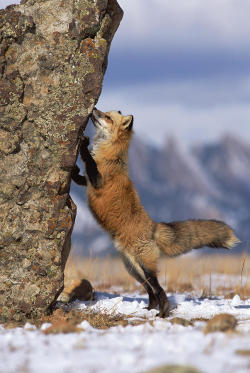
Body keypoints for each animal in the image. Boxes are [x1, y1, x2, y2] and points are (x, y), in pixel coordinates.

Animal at [71, 107, 240, 316]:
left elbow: (89, 161)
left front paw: (83, 145)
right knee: (150, 290)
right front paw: (72, 169)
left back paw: (162, 312)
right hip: (132, 268)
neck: (111, 157)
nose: (94, 109)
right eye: (104, 112)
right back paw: (149, 309)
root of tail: (154, 226)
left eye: (107, 117)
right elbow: (79, 176)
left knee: (159, 289)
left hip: (144, 267)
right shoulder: (87, 182)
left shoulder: (98, 180)